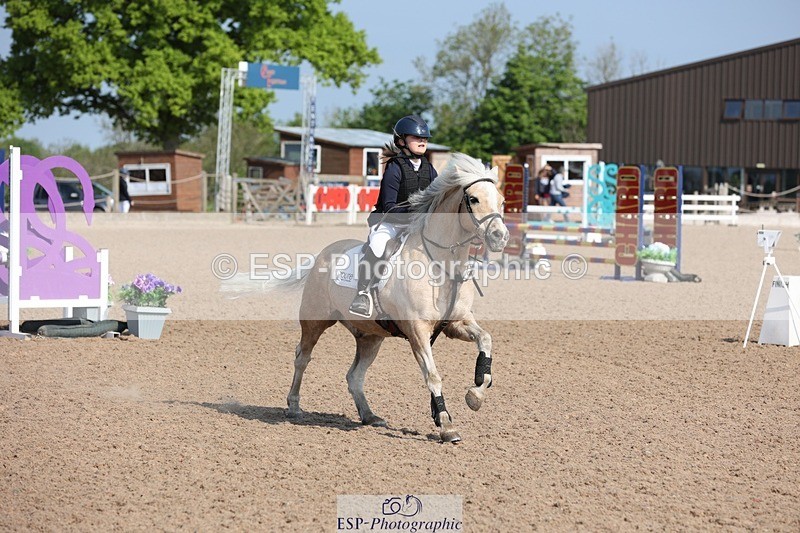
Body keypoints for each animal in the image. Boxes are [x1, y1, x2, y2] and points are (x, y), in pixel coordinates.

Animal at [250, 153, 508, 442]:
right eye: (473, 199)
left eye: (501, 200)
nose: (500, 237)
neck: (441, 264)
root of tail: (322, 255)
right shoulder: (417, 330)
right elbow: (432, 375)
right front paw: (446, 425)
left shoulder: (456, 324)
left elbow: (486, 340)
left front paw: (475, 395)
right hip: (315, 322)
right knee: (302, 358)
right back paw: (294, 407)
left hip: (371, 337)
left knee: (354, 376)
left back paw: (369, 416)